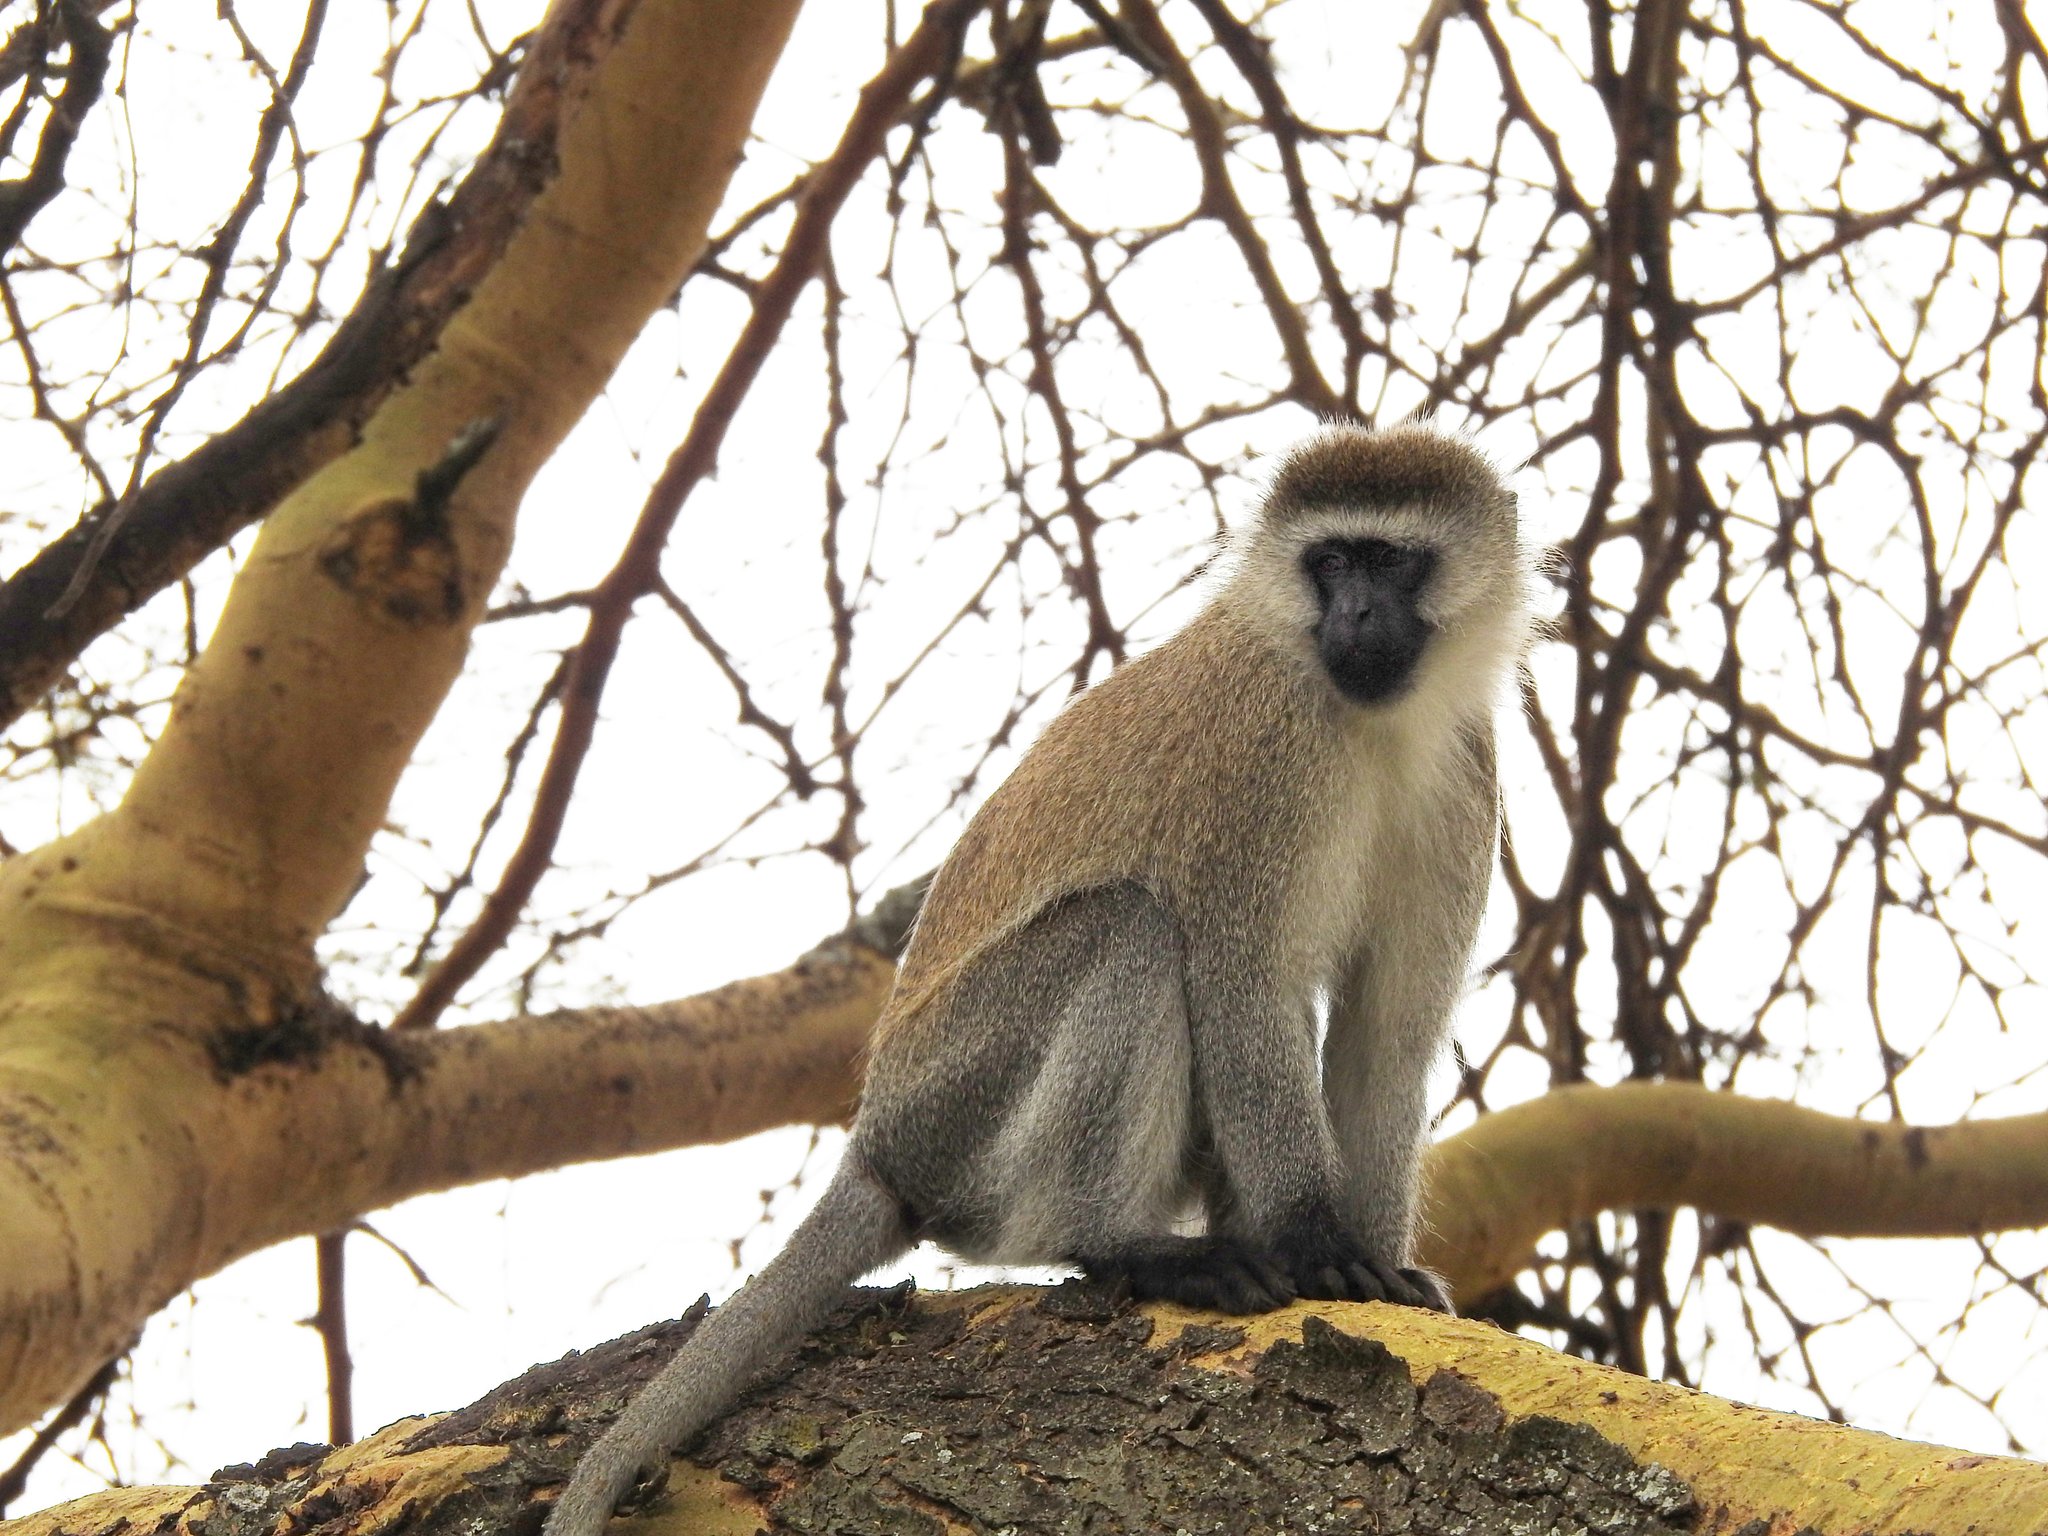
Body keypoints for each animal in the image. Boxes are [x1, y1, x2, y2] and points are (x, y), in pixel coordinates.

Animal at [544, 421, 1540, 1536]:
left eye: (1391, 561)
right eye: (1330, 562)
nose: (1356, 614)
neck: (1373, 725)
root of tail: (877, 1141)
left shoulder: (1463, 774)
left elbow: (1385, 1038)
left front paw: (1375, 1269)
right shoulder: (1259, 762)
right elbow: (1241, 990)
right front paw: (1314, 1241)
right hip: (958, 1095)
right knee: (1128, 929)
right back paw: (1126, 1244)